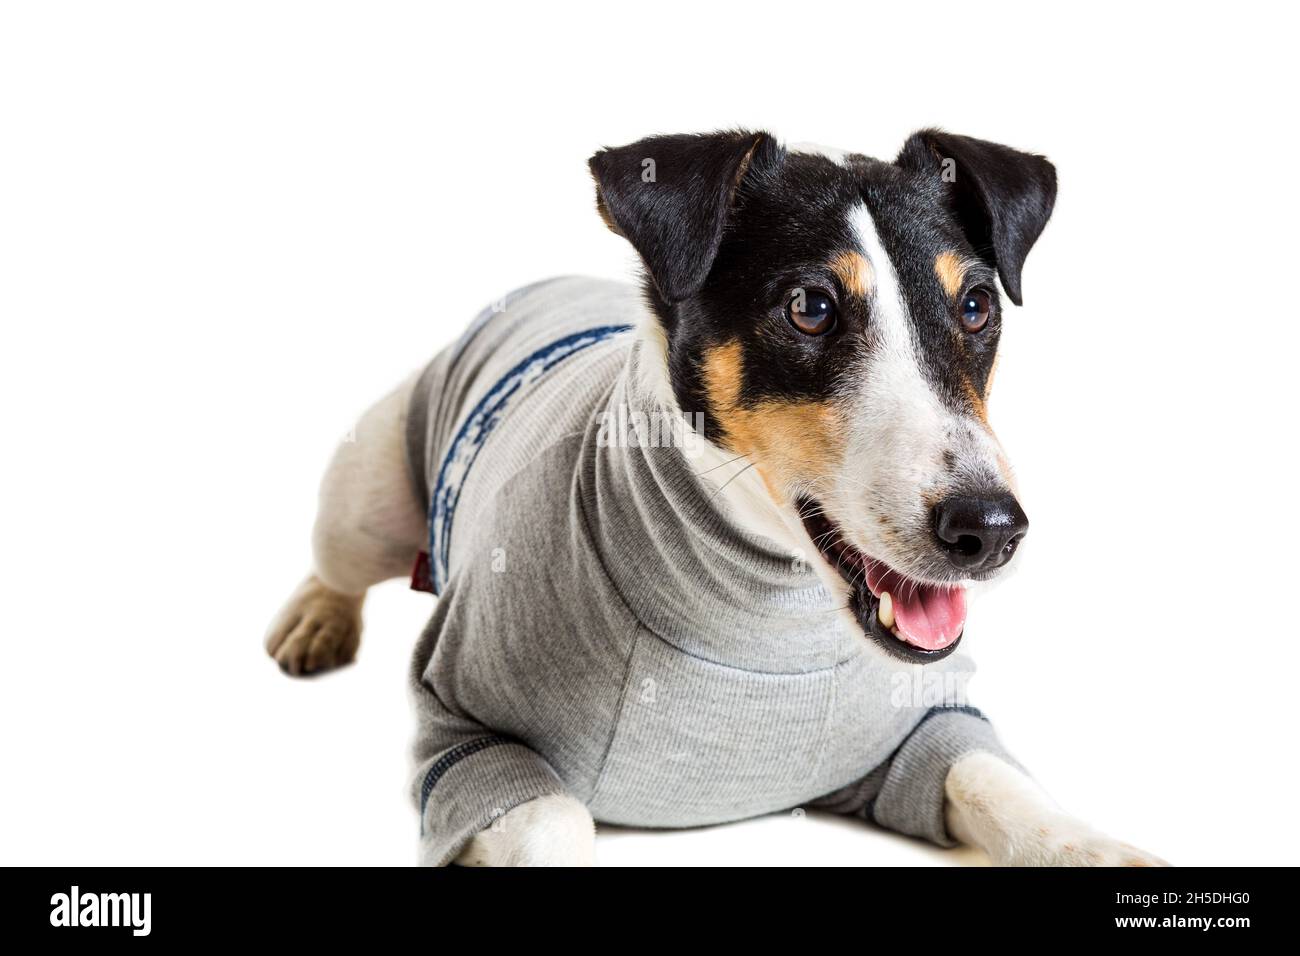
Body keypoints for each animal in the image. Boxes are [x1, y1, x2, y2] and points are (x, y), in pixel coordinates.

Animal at [263, 128, 1170, 868]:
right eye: (810, 307)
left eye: (976, 305)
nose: (990, 529)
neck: (762, 608)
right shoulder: (460, 732)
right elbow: (553, 818)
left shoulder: (923, 727)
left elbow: (994, 778)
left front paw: (1097, 846)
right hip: (367, 495)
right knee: (337, 561)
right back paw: (316, 620)